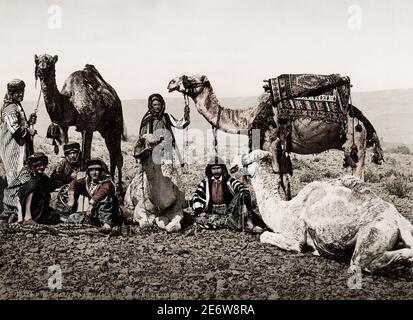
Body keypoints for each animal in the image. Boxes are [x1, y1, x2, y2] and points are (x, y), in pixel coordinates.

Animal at [34, 53, 124, 191]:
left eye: (49, 61)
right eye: (37, 60)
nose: (42, 68)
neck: (68, 102)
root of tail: (115, 95)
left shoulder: (89, 127)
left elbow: (87, 157)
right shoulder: (63, 126)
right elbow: (65, 148)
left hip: (117, 125)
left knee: (118, 156)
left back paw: (119, 189)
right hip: (106, 131)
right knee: (112, 154)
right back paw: (112, 182)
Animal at [229, 150, 412, 272]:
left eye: (247, 158)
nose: (232, 163)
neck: (283, 210)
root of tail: (397, 219)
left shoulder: (294, 237)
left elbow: (266, 235)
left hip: (373, 233)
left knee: (361, 262)